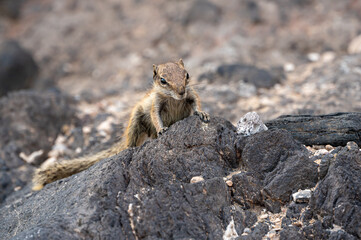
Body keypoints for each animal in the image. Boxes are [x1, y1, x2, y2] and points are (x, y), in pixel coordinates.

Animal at [33, 59, 211, 190]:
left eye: (186, 74)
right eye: (163, 80)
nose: (181, 92)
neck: (175, 99)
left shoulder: (190, 93)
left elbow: (196, 101)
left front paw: (202, 113)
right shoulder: (155, 103)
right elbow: (155, 116)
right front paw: (161, 129)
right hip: (135, 122)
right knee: (131, 142)